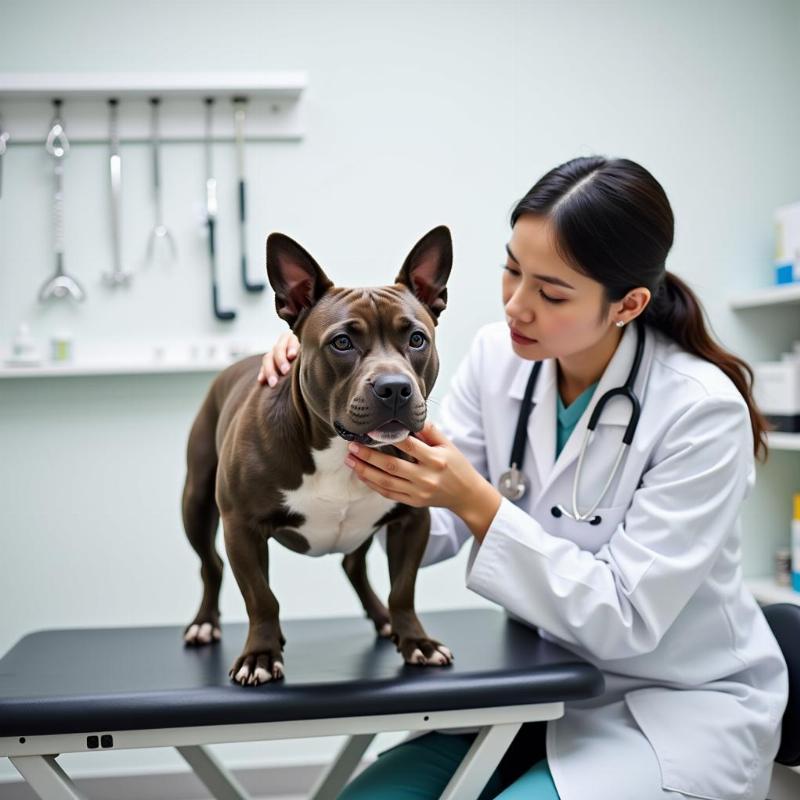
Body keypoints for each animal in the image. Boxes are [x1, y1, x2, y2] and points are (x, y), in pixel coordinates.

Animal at [183, 227, 456, 688]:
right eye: (342, 343)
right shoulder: (241, 527)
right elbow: (261, 598)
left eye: (417, 339)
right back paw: (205, 623)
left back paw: (383, 620)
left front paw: (415, 641)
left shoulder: (412, 520)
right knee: (210, 565)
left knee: (353, 565)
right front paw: (260, 654)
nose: (395, 387)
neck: (338, 448)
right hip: (196, 502)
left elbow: (403, 589)